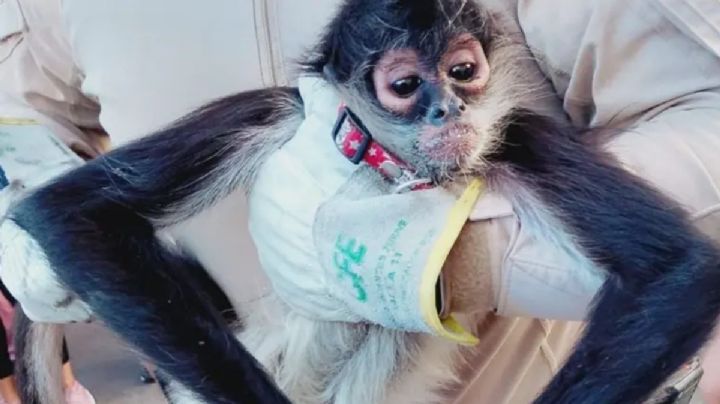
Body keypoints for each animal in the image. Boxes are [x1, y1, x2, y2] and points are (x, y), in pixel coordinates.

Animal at [2, 0, 720, 403]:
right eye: (404, 85)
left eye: (463, 71)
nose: (449, 108)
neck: (390, 168)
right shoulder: (275, 111)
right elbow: (69, 212)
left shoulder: (514, 135)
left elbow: (684, 272)